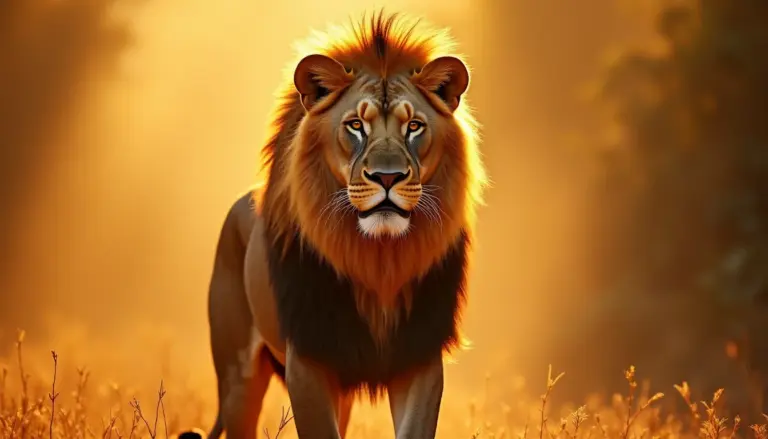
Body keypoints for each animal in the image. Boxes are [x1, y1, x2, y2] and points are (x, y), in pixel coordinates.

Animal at [181, 10, 487, 439]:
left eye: (414, 127)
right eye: (356, 125)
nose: (388, 177)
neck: (379, 259)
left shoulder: (419, 353)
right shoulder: (309, 356)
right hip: (238, 377)